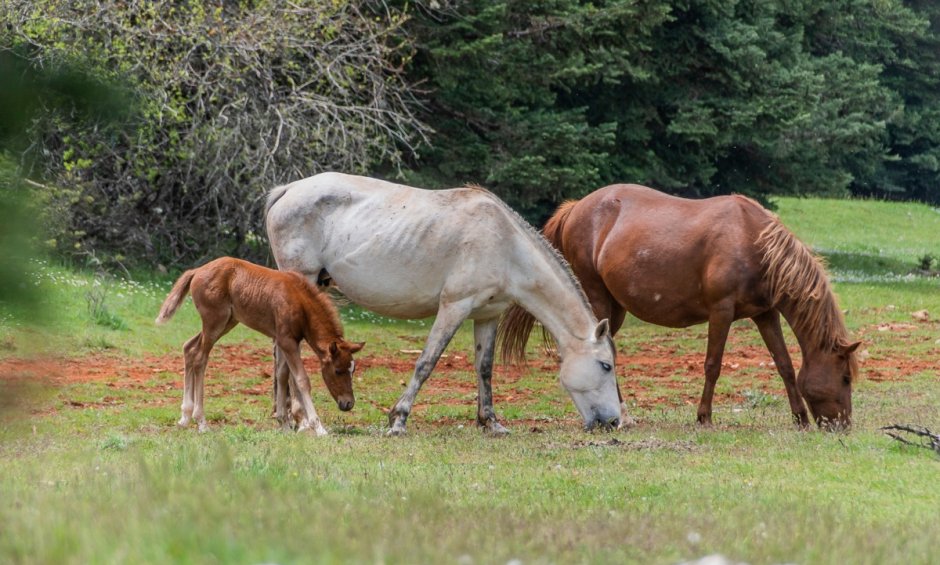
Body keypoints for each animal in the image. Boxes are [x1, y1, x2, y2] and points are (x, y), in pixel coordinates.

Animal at [154, 258, 364, 434]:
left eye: (352, 370)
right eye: (337, 371)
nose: (348, 403)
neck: (299, 301)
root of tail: (197, 270)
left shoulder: (283, 340)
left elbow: (282, 375)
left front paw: (283, 423)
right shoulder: (287, 341)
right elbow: (301, 379)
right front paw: (318, 427)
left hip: (227, 322)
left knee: (189, 347)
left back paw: (184, 417)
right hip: (214, 322)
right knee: (199, 358)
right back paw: (201, 421)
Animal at [264, 170, 624, 434]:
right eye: (605, 365)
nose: (613, 421)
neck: (506, 244)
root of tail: (288, 189)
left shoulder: (487, 315)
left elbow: (484, 368)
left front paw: (491, 422)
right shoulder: (454, 307)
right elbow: (426, 363)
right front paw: (398, 419)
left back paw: (287, 418)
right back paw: (301, 420)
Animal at [504, 185, 864, 428]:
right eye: (846, 378)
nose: (842, 426)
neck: (753, 241)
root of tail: (576, 206)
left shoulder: (765, 314)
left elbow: (785, 365)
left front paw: (800, 418)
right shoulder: (722, 312)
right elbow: (713, 365)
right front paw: (704, 417)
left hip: (615, 307)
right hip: (597, 298)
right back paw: (621, 415)